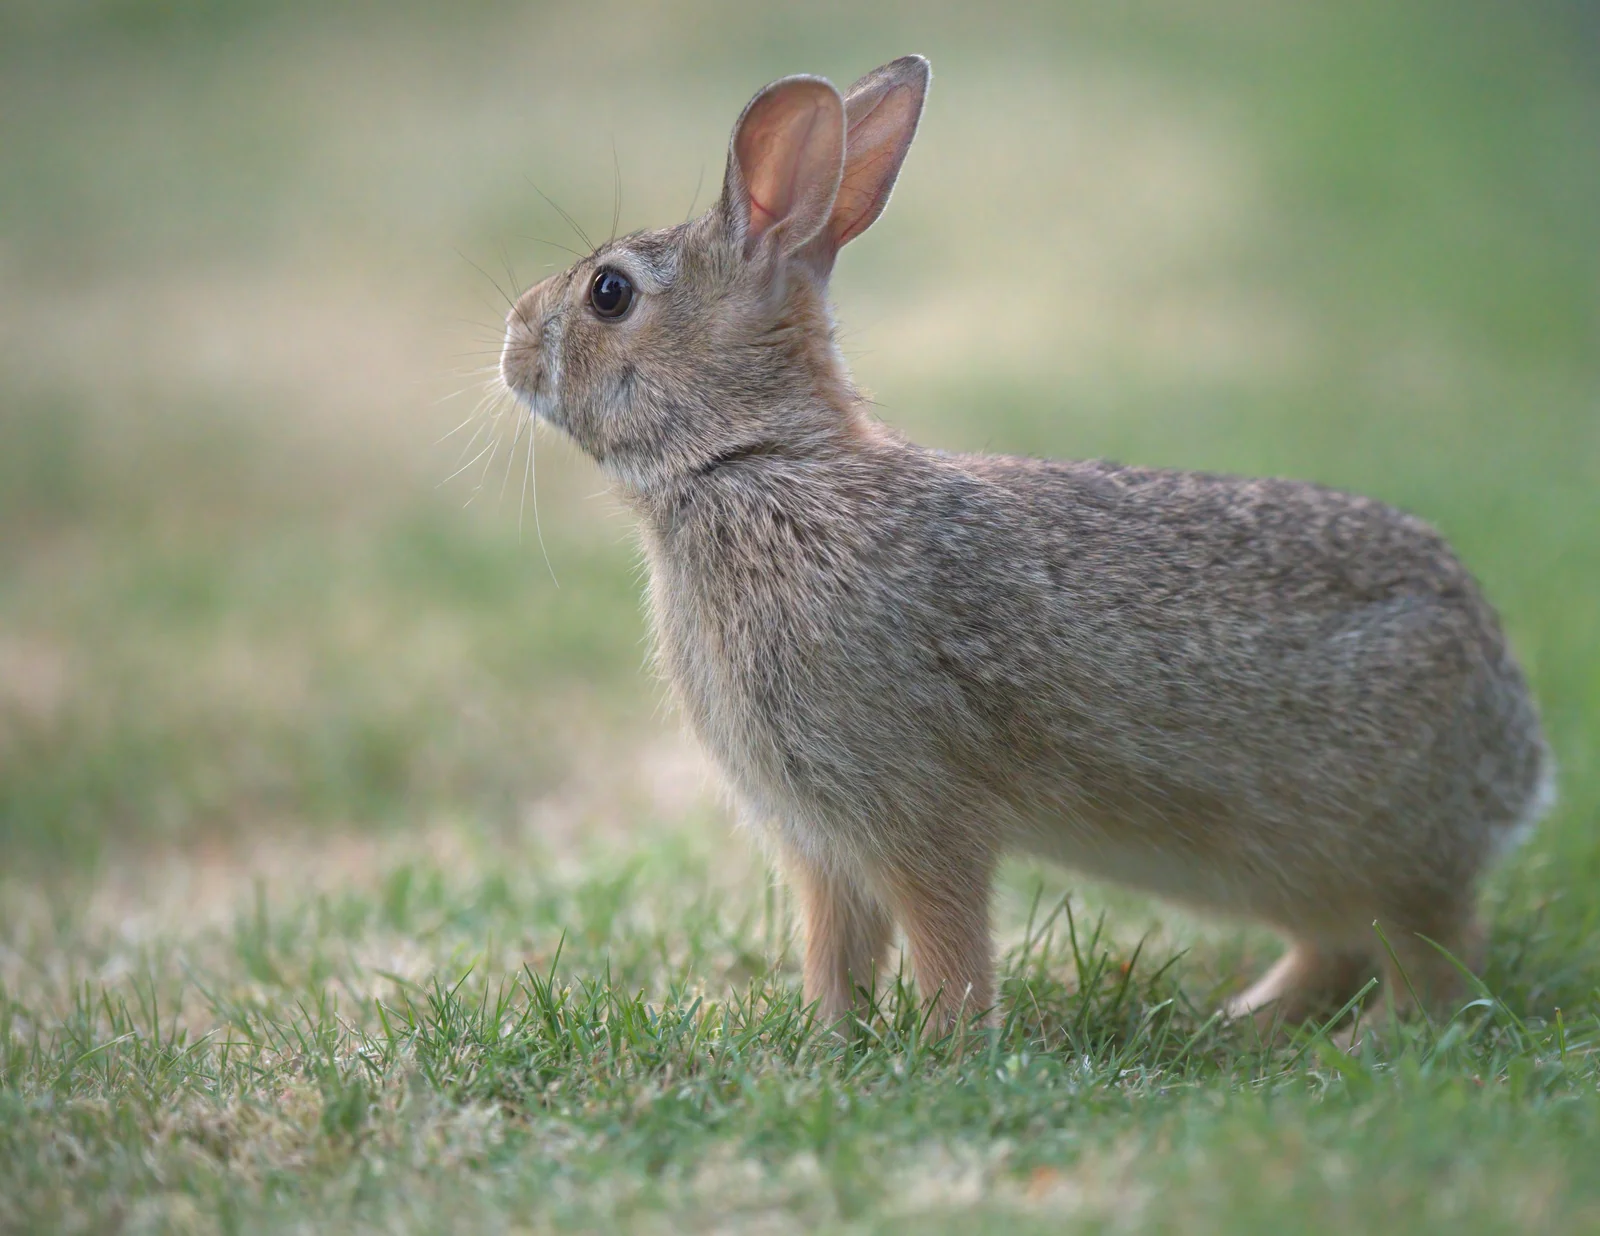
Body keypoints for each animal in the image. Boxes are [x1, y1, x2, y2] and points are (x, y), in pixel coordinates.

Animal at [498, 55, 1555, 1033]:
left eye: (609, 293)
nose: (509, 341)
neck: (751, 463)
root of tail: (1519, 753)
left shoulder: (916, 810)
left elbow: (947, 940)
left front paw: (947, 1050)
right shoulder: (822, 841)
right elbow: (837, 952)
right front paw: (830, 1042)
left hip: (1362, 842)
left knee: (1438, 950)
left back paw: (1366, 1042)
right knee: (1343, 947)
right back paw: (1246, 1021)